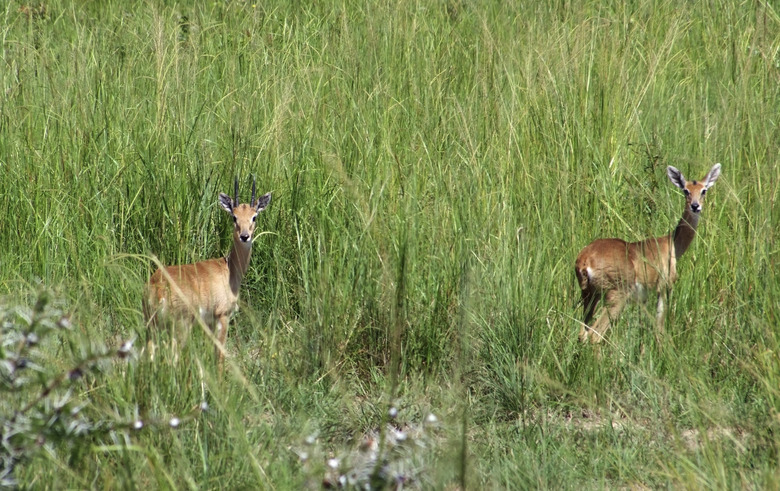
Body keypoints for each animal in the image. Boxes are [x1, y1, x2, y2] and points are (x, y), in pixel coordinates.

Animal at [146, 178, 272, 368]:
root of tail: (159, 286)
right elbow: (219, 356)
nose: (244, 236)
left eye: (254, 216)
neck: (229, 269)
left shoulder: (209, 322)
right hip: (179, 328)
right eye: (234, 216)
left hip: (151, 328)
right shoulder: (223, 316)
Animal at [576, 163, 724, 344]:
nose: (695, 206)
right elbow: (659, 328)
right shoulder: (664, 286)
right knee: (595, 335)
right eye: (686, 190)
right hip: (616, 295)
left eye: (704, 190)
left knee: (582, 334)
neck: (672, 244)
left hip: (590, 295)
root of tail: (585, 260)